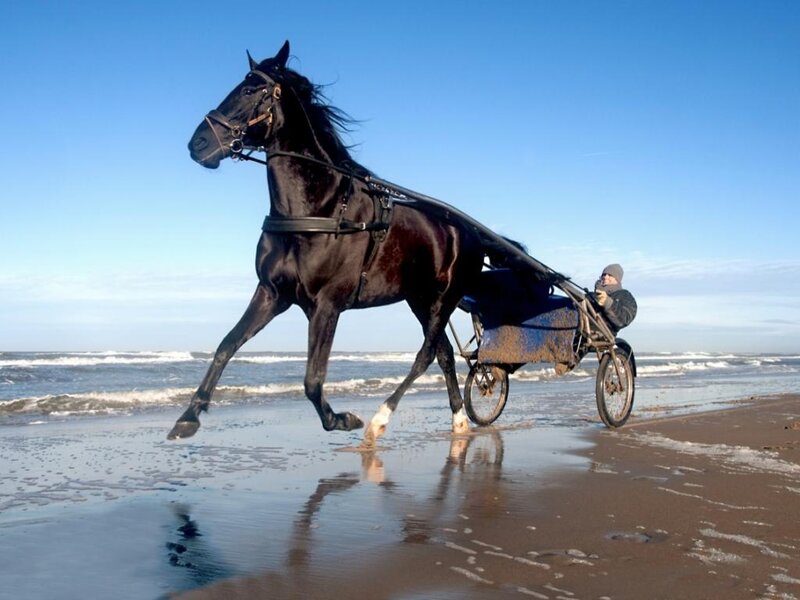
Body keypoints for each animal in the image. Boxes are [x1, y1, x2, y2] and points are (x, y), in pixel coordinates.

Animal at [167, 41, 485, 445]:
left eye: (251, 89)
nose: (198, 143)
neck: (320, 211)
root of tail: (469, 231)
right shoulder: (272, 293)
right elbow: (226, 345)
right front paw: (188, 416)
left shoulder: (327, 305)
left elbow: (312, 380)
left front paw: (341, 419)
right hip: (420, 299)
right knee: (442, 353)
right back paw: (458, 420)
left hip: (443, 299)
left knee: (426, 354)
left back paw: (381, 418)